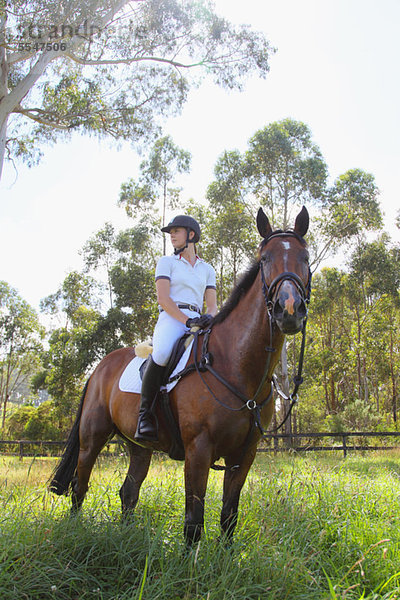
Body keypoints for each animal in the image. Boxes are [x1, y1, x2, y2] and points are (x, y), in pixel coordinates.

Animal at [50, 209, 310, 548]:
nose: (288, 309)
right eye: (264, 258)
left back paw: (125, 540)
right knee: (79, 488)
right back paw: (74, 534)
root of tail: (99, 367)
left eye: (305, 257)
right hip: (92, 438)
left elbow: (229, 517)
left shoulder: (245, 454)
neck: (235, 366)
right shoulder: (198, 451)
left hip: (139, 446)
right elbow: (193, 522)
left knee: (128, 492)